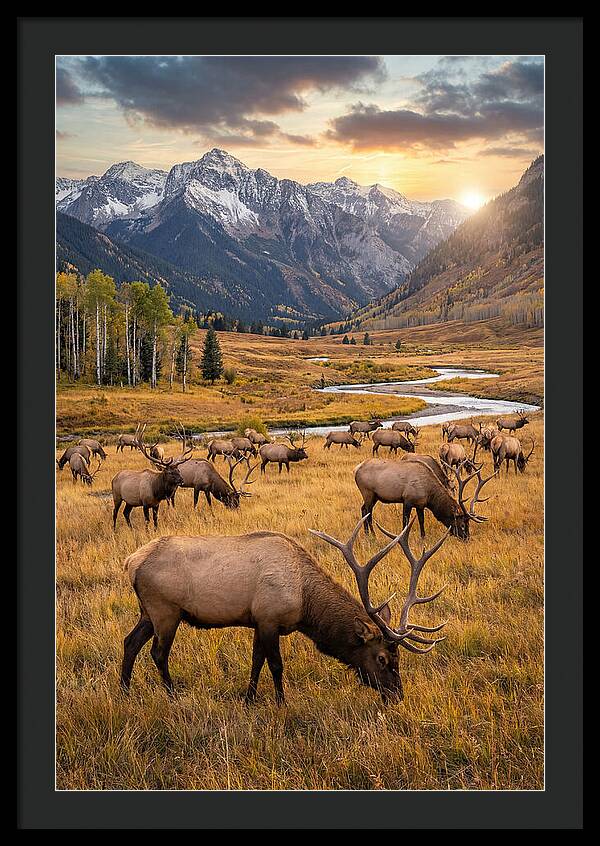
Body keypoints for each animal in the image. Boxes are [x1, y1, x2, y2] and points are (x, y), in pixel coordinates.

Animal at [120, 515, 450, 705]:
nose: (397, 695)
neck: (305, 603)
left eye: (398, 659)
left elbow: (256, 662)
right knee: (158, 653)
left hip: (147, 612)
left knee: (130, 642)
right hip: (166, 611)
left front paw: (249, 699)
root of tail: (131, 562)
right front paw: (281, 702)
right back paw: (171, 694)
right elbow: (276, 665)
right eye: (381, 658)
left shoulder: (257, 620)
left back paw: (124, 691)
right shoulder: (269, 618)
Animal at [355, 457, 495, 540]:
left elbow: (421, 521)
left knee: (363, 510)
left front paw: (423, 537)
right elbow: (405, 521)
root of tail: (356, 469)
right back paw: (371, 535)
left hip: (374, 497)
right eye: (462, 524)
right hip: (368, 493)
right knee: (367, 512)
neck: (430, 495)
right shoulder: (407, 500)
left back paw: (368, 534)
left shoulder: (420, 504)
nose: (467, 538)